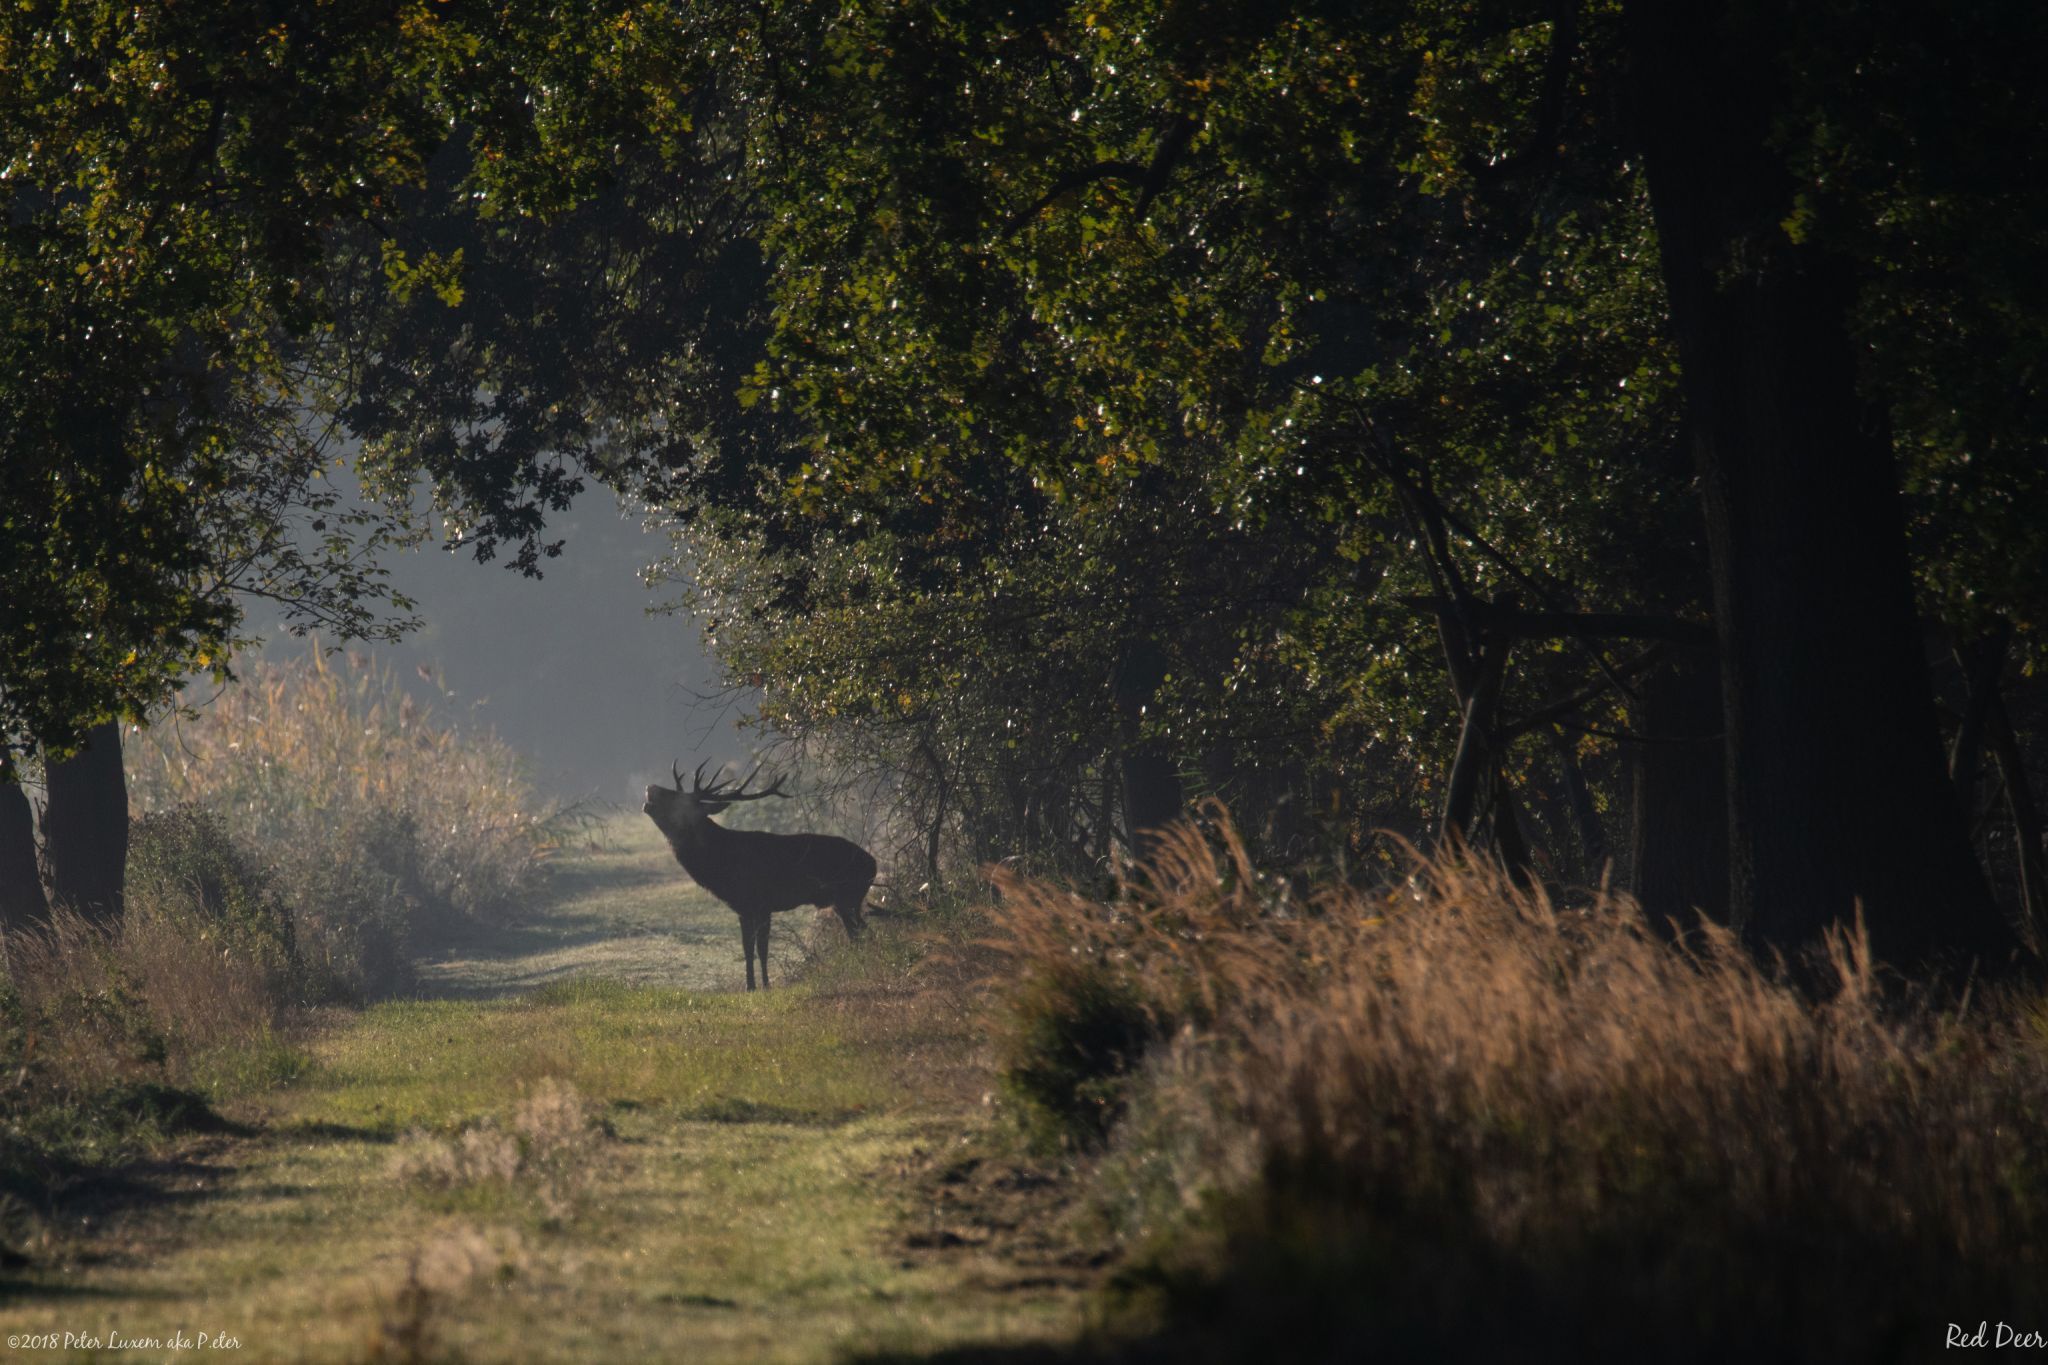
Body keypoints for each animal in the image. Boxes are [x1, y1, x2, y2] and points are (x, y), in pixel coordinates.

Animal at [642, 761, 876, 991]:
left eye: (680, 800)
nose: (650, 787)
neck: (720, 864)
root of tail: (873, 864)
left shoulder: (762, 904)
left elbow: (762, 947)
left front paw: (765, 985)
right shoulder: (742, 907)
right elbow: (747, 947)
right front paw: (750, 986)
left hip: (848, 896)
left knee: (861, 931)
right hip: (844, 901)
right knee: (858, 932)